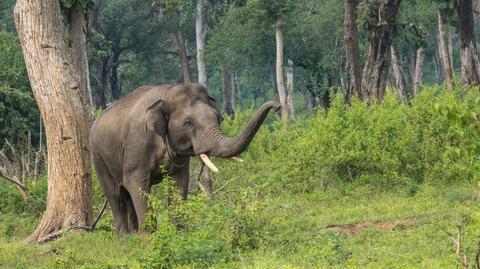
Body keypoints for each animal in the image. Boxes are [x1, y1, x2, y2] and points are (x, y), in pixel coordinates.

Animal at [90, 82, 282, 231]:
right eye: (188, 123)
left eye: (218, 118)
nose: (278, 106)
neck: (165, 93)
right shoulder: (137, 145)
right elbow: (136, 184)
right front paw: (149, 239)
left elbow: (180, 182)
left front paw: (178, 233)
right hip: (99, 158)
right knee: (116, 195)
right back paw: (125, 237)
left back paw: (133, 234)